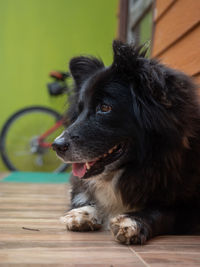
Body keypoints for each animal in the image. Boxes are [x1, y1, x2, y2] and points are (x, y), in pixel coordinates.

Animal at [52, 40, 200, 245]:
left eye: (105, 108)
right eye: (79, 111)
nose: (56, 146)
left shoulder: (189, 207)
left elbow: (165, 211)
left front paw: (132, 222)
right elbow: (84, 197)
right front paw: (83, 213)